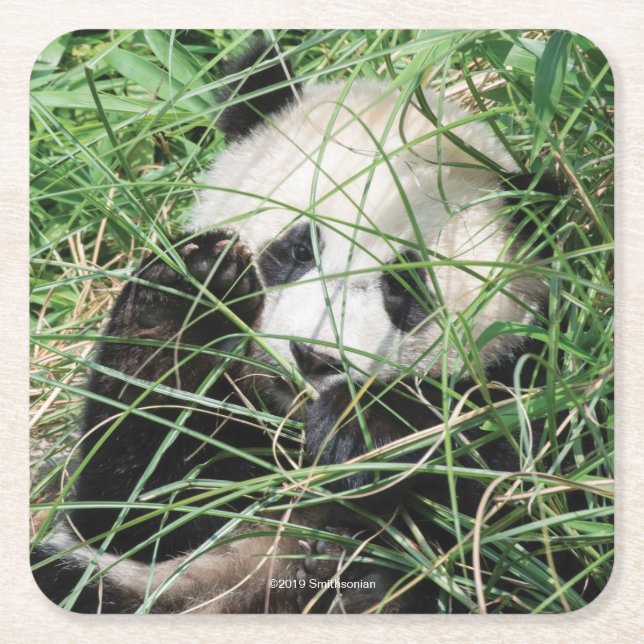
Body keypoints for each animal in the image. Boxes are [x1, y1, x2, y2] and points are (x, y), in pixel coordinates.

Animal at [30, 41, 556, 614]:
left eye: (404, 288)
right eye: (300, 250)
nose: (313, 358)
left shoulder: (525, 369)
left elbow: (530, 505)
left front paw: (364, 425)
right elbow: (135, 508)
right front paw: (188, 293)